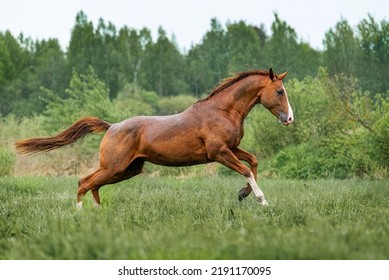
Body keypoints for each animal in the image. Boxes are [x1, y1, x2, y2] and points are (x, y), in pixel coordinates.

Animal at [15, 68, 294, 208]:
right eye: (280, 91)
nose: (289, 119)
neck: (223, 111)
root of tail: (111, 127)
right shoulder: (219, 152)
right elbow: (246, 169)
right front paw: (262, 200)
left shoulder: (232, 148)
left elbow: (253, 162)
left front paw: (243, 194)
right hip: (115, 166)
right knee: (84, 182)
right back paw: (82, 216)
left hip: (128, 169)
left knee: (92, 184)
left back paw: (98, 213)